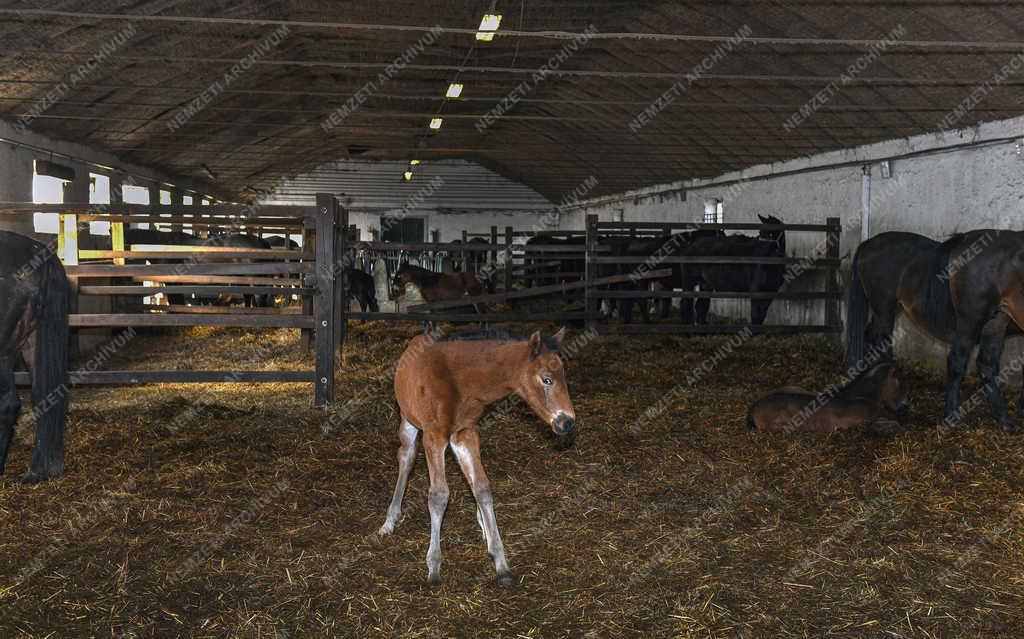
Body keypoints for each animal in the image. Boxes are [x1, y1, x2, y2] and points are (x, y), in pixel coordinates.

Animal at [382, 329, 577, 589]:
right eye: (547, 379)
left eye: (564, 376)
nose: (567, 422)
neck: (459, 382)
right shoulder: (434, 436)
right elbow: (438, 495)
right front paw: (434, 567)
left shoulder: (466, 432)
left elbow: (482, 488)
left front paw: (501, 564)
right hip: (409, 419)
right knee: (406, 457)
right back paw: (389, 520)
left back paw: (483, 524)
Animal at [749, 362, 909, 432]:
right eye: (900, 383)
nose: (904, 406)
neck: (862, 396)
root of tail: (755, 405)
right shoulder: (859, 422)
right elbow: (891, 422)